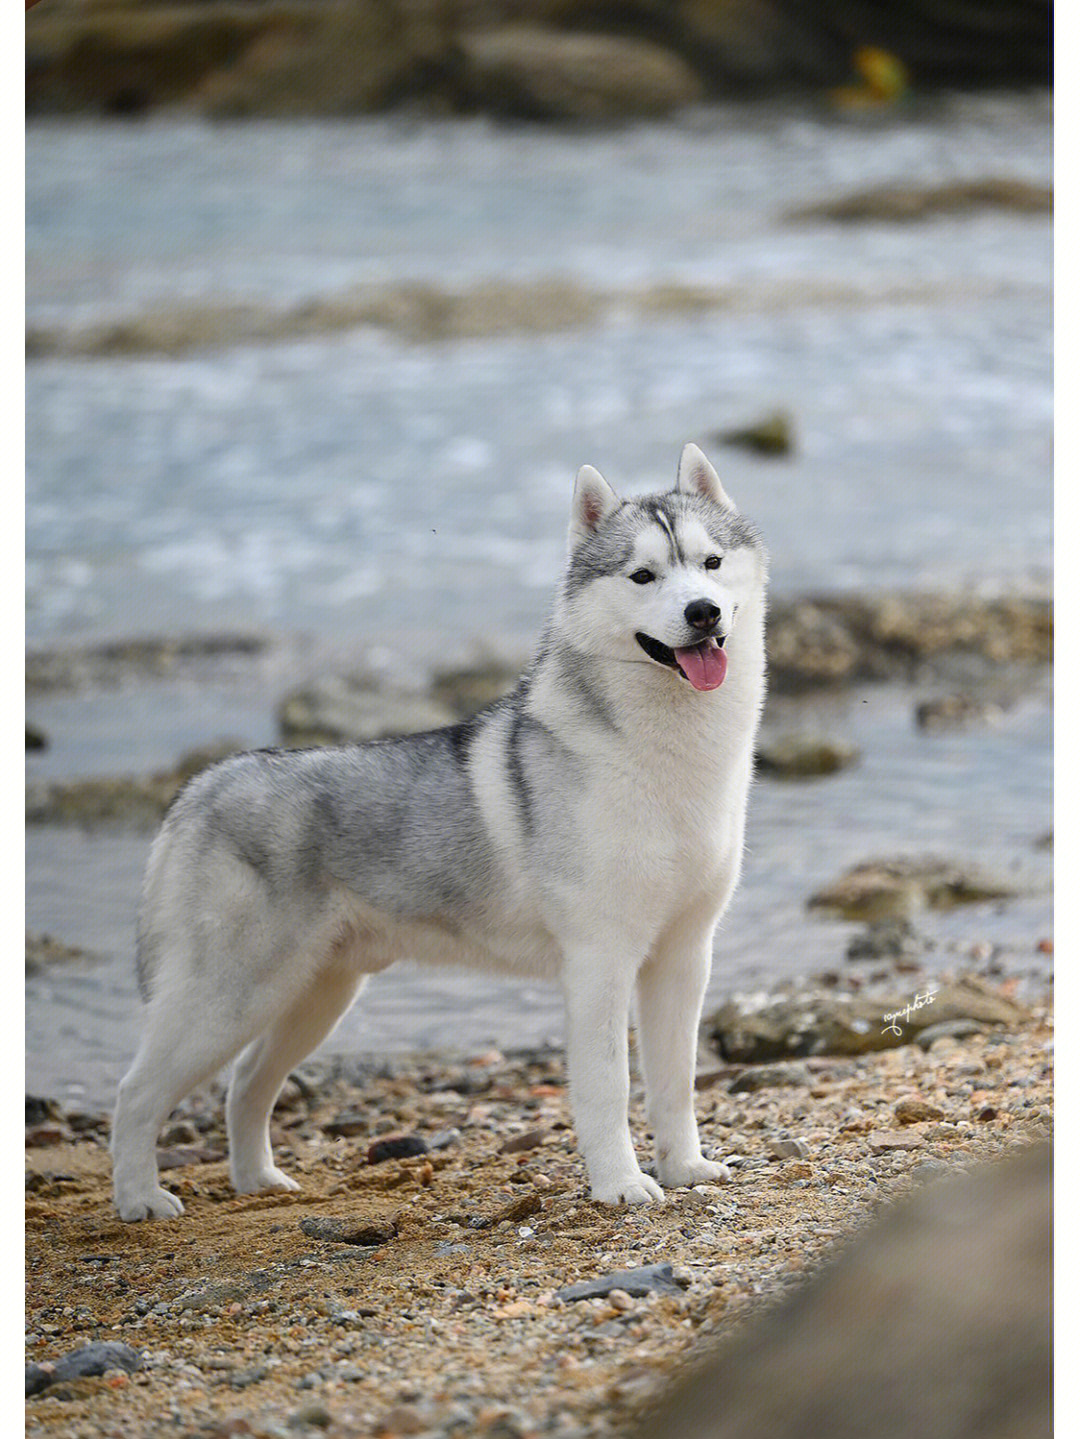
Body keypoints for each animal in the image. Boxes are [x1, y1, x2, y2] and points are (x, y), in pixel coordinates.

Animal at [112, 443, 770, 1220]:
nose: (701, 612)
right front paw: (619, 1185)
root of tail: (202, 784)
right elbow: (609, 1086)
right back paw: (139, 1201)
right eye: (643, 576)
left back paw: (257, 1181)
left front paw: (685, 1167)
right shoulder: (600, 960)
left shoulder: (682, 956)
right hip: (226, 998)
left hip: (315, 996)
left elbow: (675, 1081)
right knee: (135, 1094)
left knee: (246, 1084)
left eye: (711, 563)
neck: (671, 762)